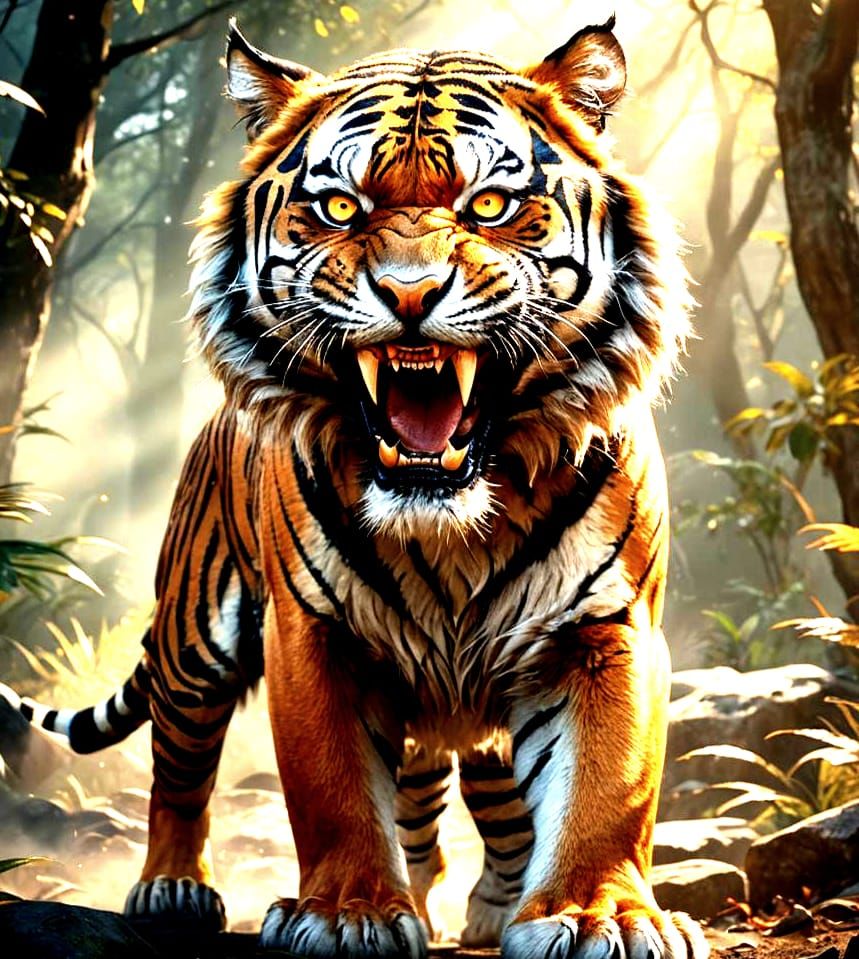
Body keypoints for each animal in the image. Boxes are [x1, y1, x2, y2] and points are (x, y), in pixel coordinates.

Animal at [0, 15, 708, 959]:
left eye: (489, 205)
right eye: (341, 207)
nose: (409, 293)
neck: (452, 520)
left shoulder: (605, 628)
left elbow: (603, 784)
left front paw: (600, 915)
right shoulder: (312, 633)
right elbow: (330, 787)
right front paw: (348, 913)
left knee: (482, 801)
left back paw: (493, 901)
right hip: (194, 642)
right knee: (179, 772)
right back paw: (172, 887)